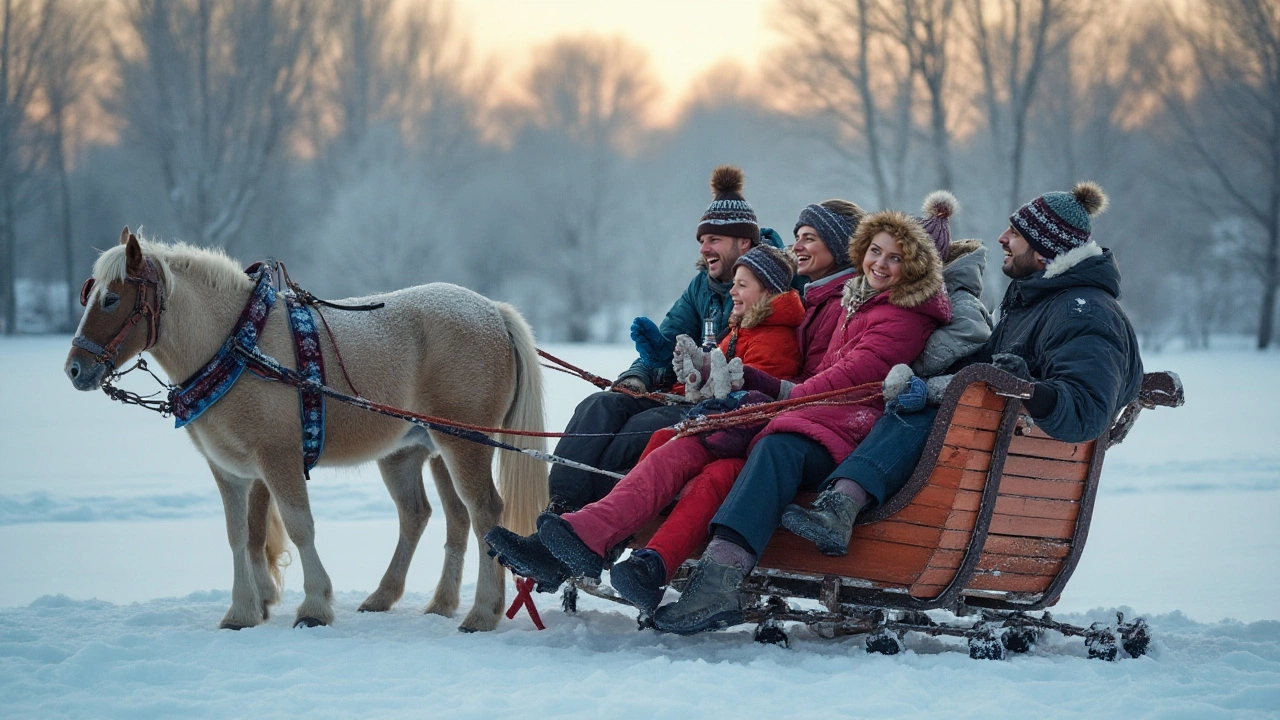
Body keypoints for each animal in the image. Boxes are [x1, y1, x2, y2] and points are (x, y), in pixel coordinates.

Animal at [66, 226, 545, 630]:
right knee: (437, 516)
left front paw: (314, 605)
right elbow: (240, 535)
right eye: (89, 296)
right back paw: (417, 599)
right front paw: (242, 611)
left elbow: (299, 526)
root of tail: (493, 310)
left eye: (111, 300)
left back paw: (482, 612)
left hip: (465, 442)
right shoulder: (230, 469)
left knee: (484, 512)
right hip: (417, 450)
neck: (239, 346)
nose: (74, 368)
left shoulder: (278, 457)